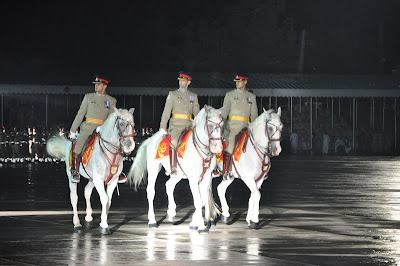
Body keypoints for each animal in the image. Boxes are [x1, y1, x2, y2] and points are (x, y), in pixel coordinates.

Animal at [130, 105, 225, 234]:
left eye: (222, 124)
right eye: (209, 125)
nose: (218, 147)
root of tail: (151, 138)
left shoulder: (206, 177)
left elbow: (203, 200)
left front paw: (195, 223)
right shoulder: (193, 179)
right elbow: (198, 201)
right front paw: (201, 226)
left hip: (178, 174)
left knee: (169, 185)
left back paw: (171, 213)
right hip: (153, 168)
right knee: (151, 191)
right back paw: (152, 221)